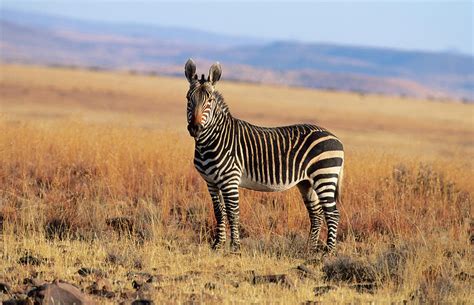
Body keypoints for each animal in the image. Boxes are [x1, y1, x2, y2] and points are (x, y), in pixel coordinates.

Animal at [183, 58, 342, 253]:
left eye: (210, 101)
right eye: (188, 98)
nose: (195, 128)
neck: (211, 142)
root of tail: (335, 138)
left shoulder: (230, 180)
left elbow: (233, 212)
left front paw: (235, 247)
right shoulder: (211, 182)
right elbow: (219, 212)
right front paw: (217, 245)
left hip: (324, 175)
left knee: (332, 214)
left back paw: (328, 251)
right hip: (307, 183)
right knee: (317, 213)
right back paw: (309, 249)